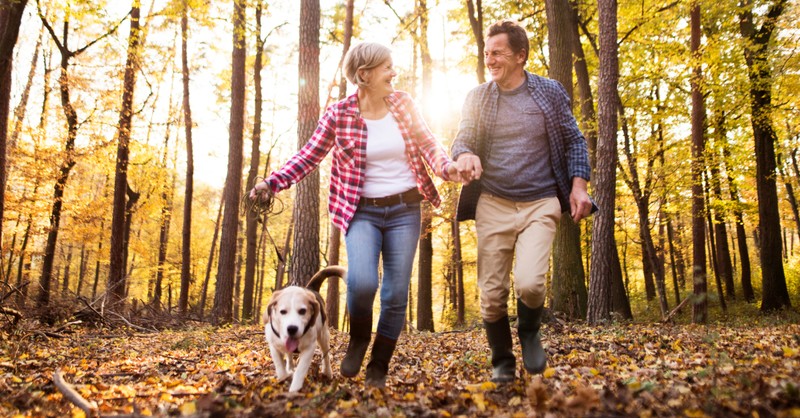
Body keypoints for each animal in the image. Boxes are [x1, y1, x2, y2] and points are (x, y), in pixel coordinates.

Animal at [268, 264, 346, 392]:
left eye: (302, 311)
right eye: (282, 311)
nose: (292, 328)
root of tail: (310, 288)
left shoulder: (309, 348)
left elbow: (300, 370)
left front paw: (294, 389)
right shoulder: (274, 345)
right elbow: (280, 368)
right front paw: (286, 375)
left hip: (323, 336)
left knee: (325, 354)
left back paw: (327, 372)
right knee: (289, 356)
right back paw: (290, 367)